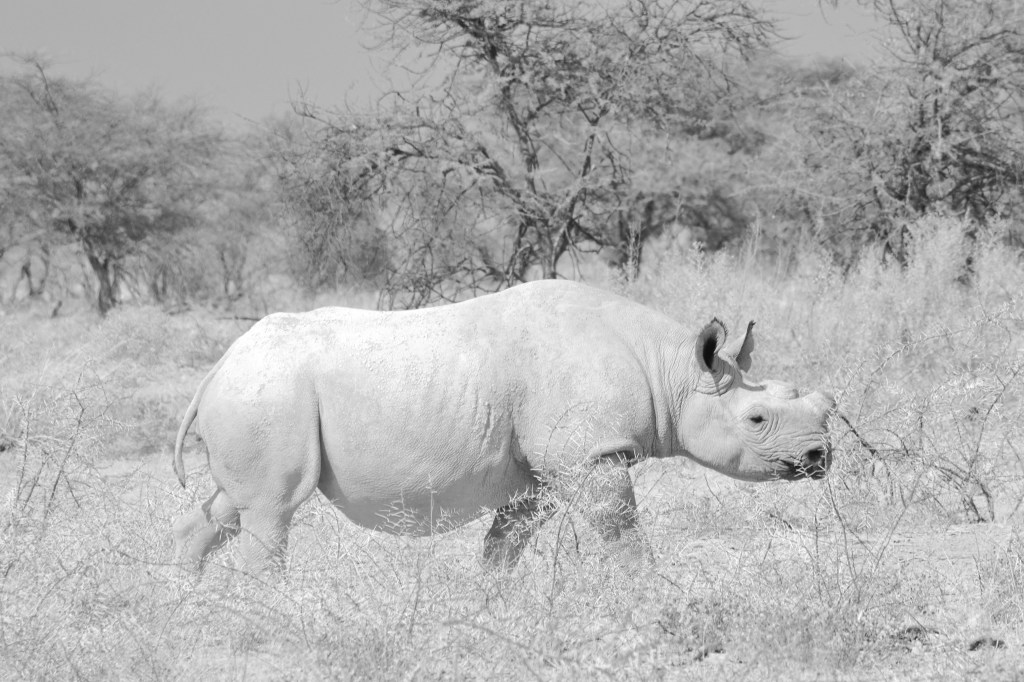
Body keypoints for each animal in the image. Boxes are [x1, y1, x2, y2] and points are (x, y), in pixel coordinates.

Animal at [172, 280, 834, 572]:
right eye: (757, 419)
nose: (820, 457)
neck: (668, 367)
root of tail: (220, 365)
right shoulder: (588, 455)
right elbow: (620, 530)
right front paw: (648, 590)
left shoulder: (540, 469)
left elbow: (505, 545)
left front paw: (491, 605)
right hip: (270, 393)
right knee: (272, 510)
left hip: (256, 393)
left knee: (229, 505)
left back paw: (189, 599)